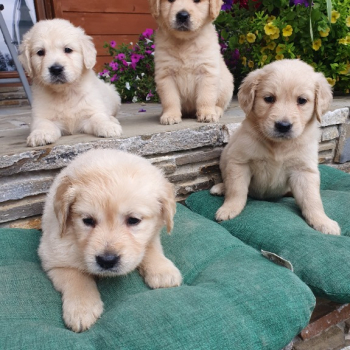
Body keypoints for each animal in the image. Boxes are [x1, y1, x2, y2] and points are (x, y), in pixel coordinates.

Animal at [19, 18, 123, 147]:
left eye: (68, 49)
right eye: (40, 52)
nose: (56, 69)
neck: (65, 92)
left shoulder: (91, 111)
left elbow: (99, 118)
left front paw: (108, 126)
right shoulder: (42, 116)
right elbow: (43, 124)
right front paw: (40, 134)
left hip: (114, 96)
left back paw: (112, 120)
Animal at [38, 150, 182, 330]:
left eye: (133, 220)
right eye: (88, 221)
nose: (107, 261)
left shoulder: (152, 234)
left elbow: (150, 247)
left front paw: (162, 270)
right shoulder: (54, 256)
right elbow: (77, 277)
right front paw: (82, 308)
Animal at [212, 59, 340, 235]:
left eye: (302, 100)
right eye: (269, 98)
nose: (283, 126)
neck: (278, 145)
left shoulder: (304, 170)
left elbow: (312, 199)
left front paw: (322, 221)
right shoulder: (239, 162)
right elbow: (236, 190)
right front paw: (229, 209)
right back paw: (220, 187)